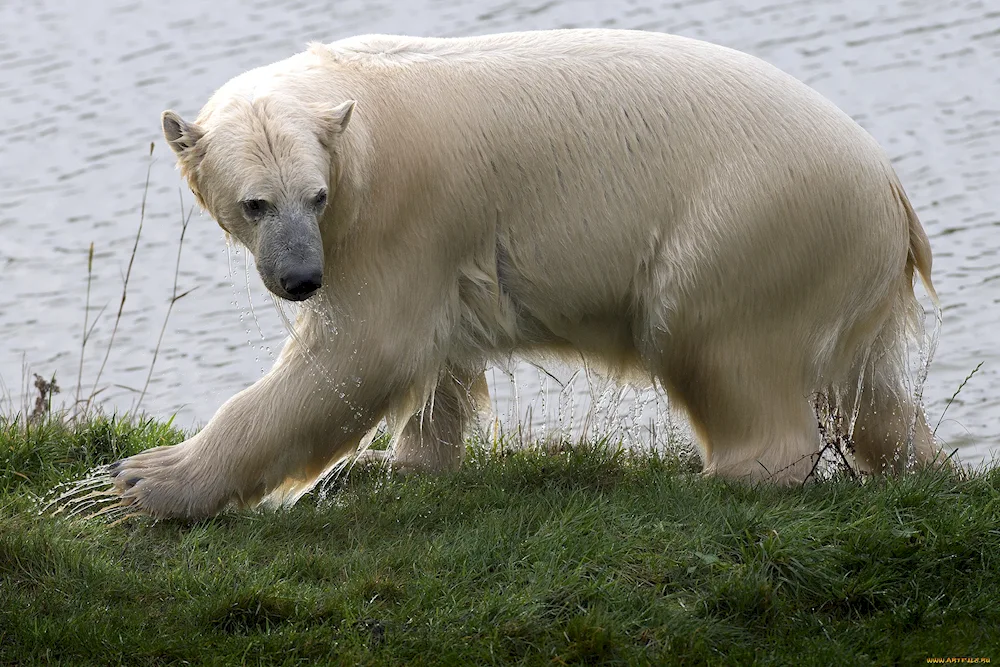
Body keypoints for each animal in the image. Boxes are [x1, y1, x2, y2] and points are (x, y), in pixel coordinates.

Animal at [111, 28, 944, 520]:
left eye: (313, 197)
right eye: (254, 203)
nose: (301, 279)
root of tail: (893, 194)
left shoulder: (392, 215)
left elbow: (361, 351)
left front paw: (144, 479)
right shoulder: (429, 238)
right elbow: (436, 355)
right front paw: (397, 463)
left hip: (751, 220)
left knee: (712, 339)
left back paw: (717, 476)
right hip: (841, 264)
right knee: (868, 387)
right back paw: (918, 466)